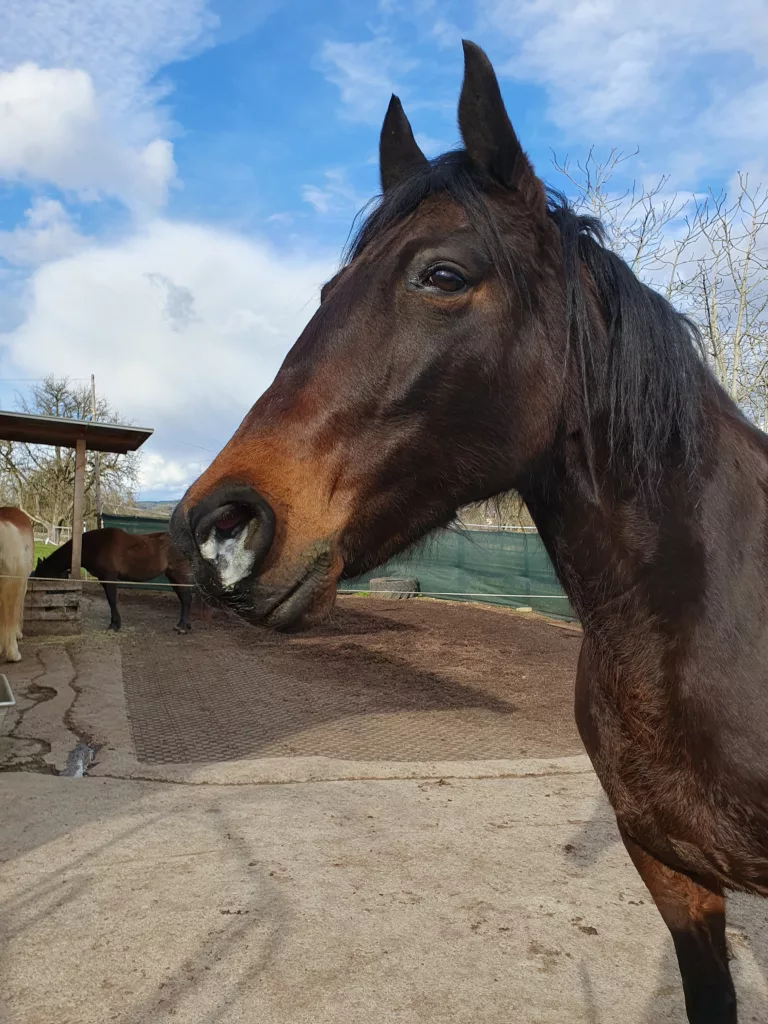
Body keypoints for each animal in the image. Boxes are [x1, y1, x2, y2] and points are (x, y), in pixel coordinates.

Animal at [33, 528, 192, 630]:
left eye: (42, 575)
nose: (45, 607)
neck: (96, 545)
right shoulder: (103, 578)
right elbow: (111, 600)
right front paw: (115, 623)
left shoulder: (110, 576)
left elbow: (112, 599)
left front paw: (114, 625)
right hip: (172, 575)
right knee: (184, 597)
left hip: (178, 573)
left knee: (186, 597)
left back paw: (182, 626)